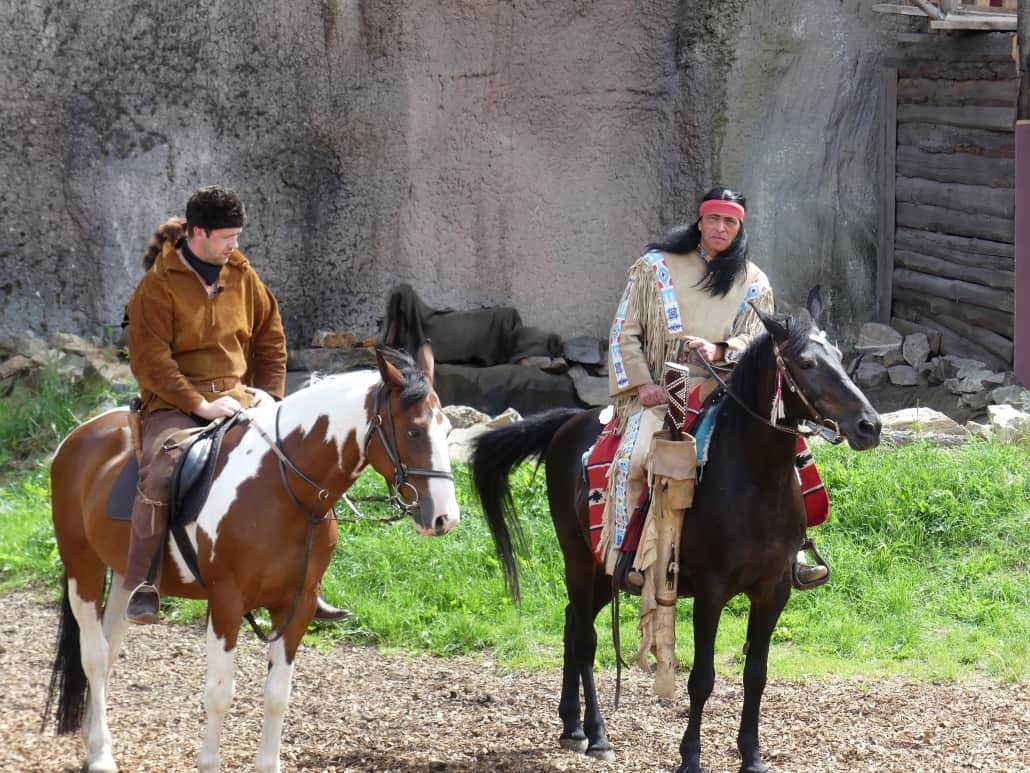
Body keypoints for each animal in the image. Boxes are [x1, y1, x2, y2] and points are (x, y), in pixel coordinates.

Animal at [47, 346, 459, 773]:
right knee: (94, 656)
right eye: (413, 432)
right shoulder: (226, 603)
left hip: (126, 576)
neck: (283, 486)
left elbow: (278, 694)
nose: (445, 518)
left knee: (109, 648)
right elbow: (219, 693)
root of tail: (79, 435)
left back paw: (94, 741)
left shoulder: (297, 605)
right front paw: (209, 762)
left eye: (446, 431)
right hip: (83, 567)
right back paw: (101, 755)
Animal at [471, 303, 881, 773]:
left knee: (573, 621)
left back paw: (571, 725)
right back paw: (596, 735)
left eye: (838, 356)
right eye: (807, 363)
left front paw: (751, 756)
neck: (754, 482)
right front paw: (690, 757)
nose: (869, 425)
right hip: (578, 557)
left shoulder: (773, 590)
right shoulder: (710, 592)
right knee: (586, 638)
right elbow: (702, 678)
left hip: (604, 572)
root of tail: (566, 424)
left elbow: (755, 674)